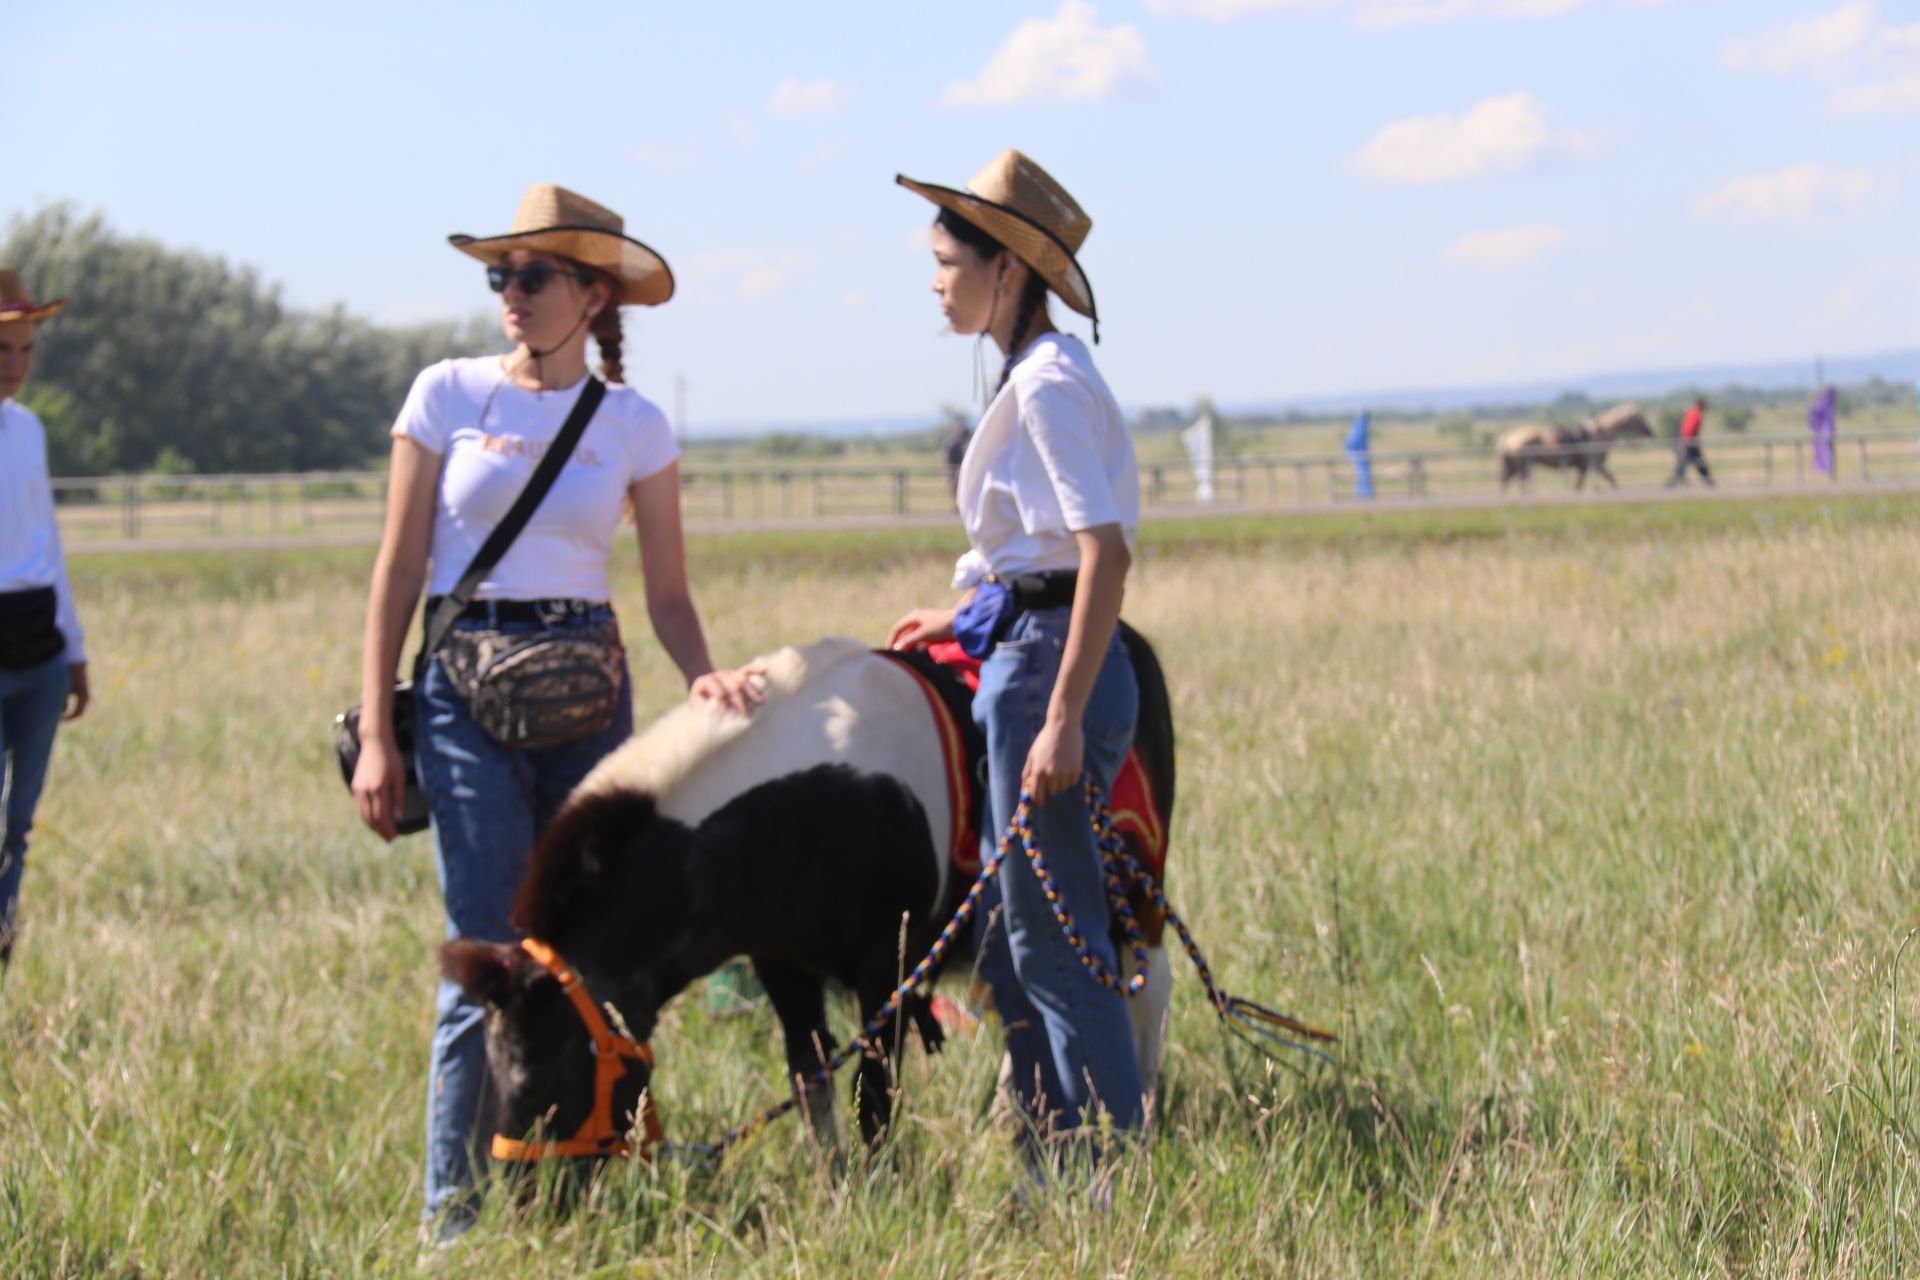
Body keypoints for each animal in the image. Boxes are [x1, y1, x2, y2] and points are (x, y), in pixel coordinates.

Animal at [441, 629, 1175, 1159]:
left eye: (545, 1072)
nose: (526, 1205)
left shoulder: (887, 969)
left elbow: (873, 1087)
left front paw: (880, 1183)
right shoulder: (780, 964)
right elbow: (810, 1073)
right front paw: (834, 1181)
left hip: (1128, 896)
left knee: (1144, 989)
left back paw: (1137, 1109)